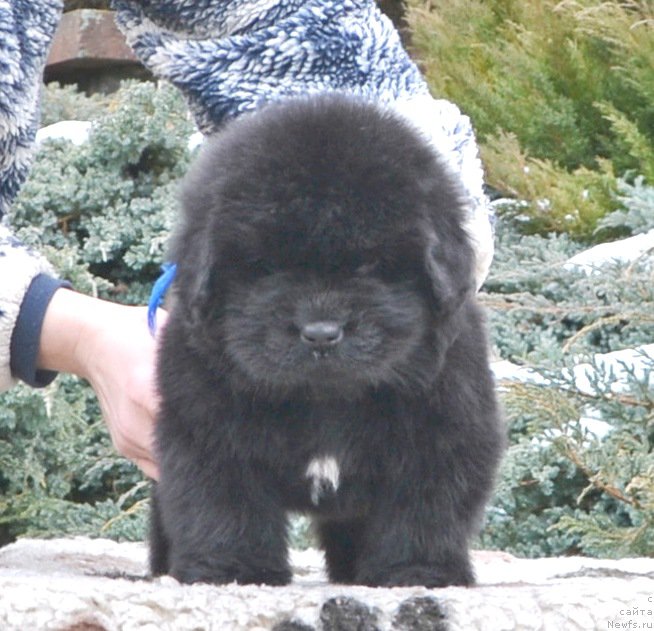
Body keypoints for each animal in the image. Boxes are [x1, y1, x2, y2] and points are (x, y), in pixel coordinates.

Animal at [154, 95, 508, 592]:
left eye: (370, 265)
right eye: (266, 268)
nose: (321, 333)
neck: (325, 398)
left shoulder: (446, 433)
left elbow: (424, 509)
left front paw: (417, 572)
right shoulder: (205, 433)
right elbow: (223, 504)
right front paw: (232, 570)